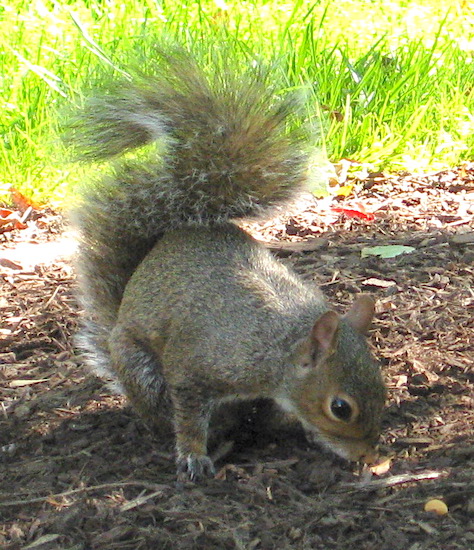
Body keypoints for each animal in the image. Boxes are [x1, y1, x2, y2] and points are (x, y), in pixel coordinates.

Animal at [69, 48, 386, 484]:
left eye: (382, 385)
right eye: (341, 408)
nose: (368, 455)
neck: (276, 346)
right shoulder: (193, 367)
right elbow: (188, 418)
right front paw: (193, 456)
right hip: (145, 374)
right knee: (165, 415)